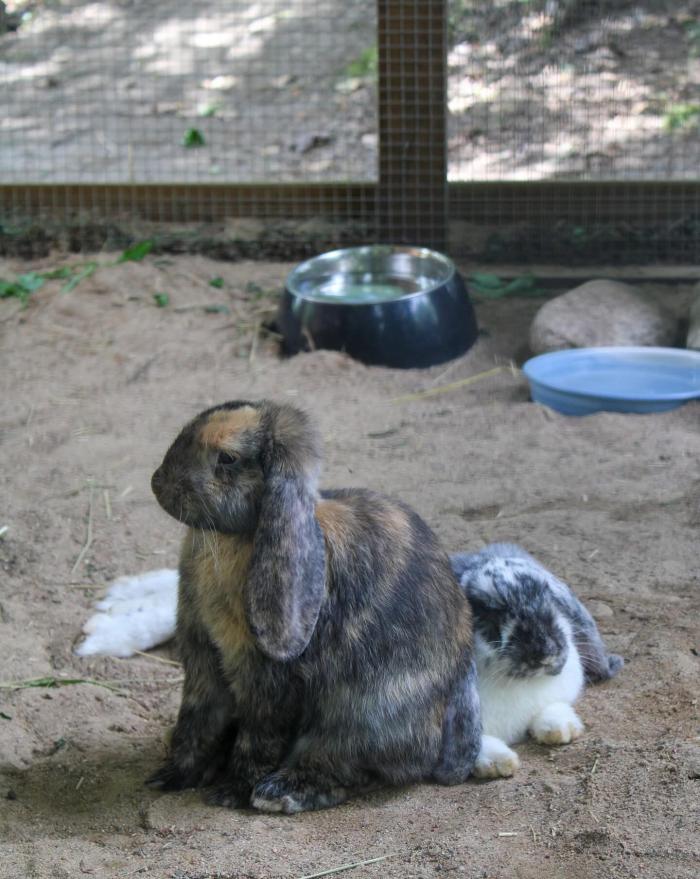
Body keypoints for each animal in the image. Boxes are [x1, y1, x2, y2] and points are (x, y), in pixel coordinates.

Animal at [146, 399, 481, 813]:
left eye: (227, 458)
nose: (157, 482)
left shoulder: (267, 681)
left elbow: (258, 738)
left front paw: (231, 793)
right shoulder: (202, 663)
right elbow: (196, 722)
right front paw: (171, 777)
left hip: (358, 716)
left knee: (351, 768)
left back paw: (279, 792)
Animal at [450, 543, 623, 779]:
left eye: (548, 598)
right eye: (487, 610)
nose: (547, 651)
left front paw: (561, 730)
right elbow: (476, 745)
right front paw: (500, 763)